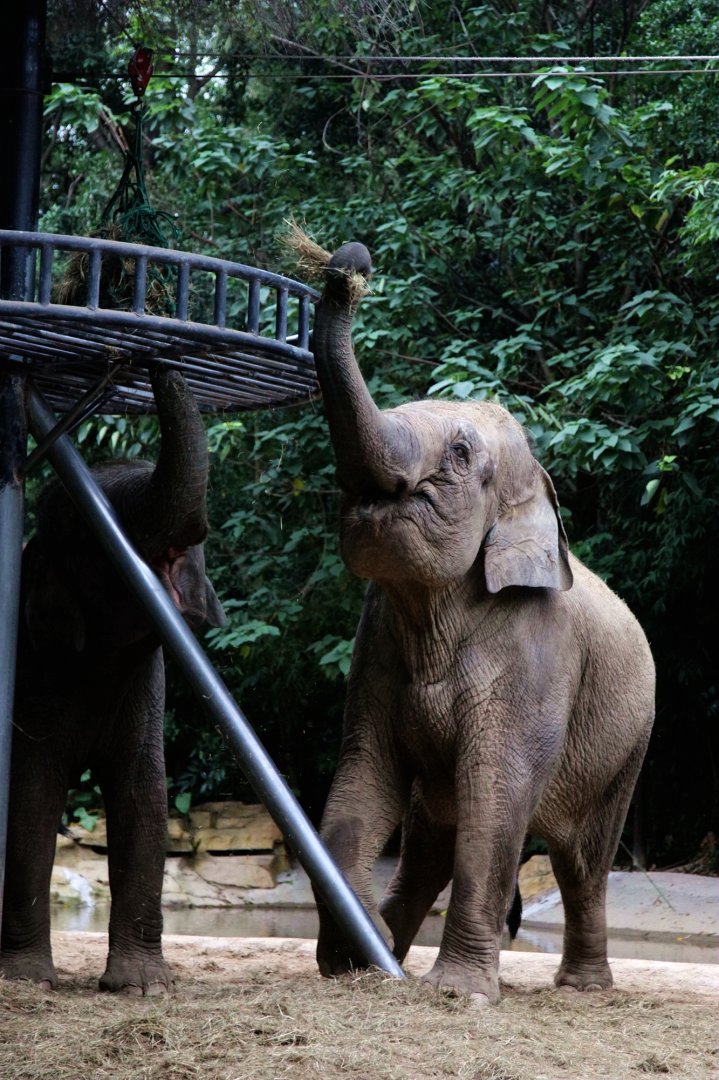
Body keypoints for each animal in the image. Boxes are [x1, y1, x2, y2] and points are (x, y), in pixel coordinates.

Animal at [0, 365, 224, 995]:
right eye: (91, 529)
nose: (158, 360)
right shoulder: (34, 673)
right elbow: (31, 795)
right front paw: (28, 980)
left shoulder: (144, 681)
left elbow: (143, 795)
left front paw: (143, 987)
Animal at [309, 240, 655, 1005]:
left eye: (461, 455)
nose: (351, 261)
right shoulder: (376, 635)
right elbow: (361, 776)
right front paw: (358, 956)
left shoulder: (537, 651)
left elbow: (496, 796)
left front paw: (459, 992)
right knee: (428, 843)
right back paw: (389, 942)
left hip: (628, 748)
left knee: (583, 862)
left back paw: (581, 988)